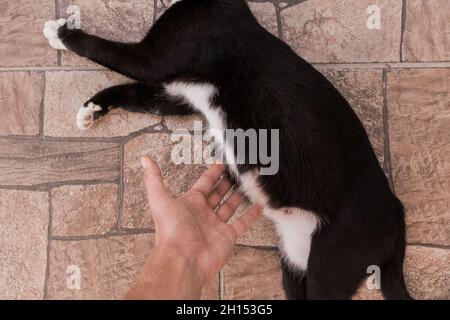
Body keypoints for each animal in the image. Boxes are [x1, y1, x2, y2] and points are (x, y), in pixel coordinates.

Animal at [44, 0, 414, 300]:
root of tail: (397, 212)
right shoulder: (177, 94)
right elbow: (133, 93)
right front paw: (93, 108)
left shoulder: (156, 58)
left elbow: (105, 50)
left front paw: (61, 32)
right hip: (296, 261)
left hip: (330, 263)